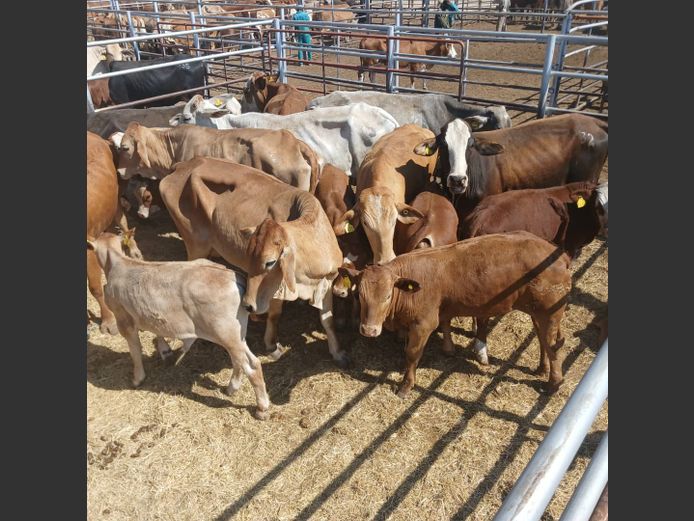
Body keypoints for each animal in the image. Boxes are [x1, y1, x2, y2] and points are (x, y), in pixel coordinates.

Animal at [86, 232, 271, 420]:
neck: (119, 264)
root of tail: (232, 275)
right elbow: (156, 330)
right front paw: (164, 350)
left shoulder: (123, 318)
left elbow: (135, 350)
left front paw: (138, 378)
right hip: (236, 334)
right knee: (239, 360)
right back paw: (232, 388)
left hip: (226, 332)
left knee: (253, 365)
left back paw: (262, 408)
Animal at [159, 157, 349, 367]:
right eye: (249, 257)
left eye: (270, 262)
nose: (247, 306)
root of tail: (184, 165)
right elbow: (274, 315)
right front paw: (272, 347)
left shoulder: (327, 281)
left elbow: (328, 319)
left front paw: (338, 352)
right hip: (195, 245)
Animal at [337, 231, 572, 396]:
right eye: (359, 295)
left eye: (387, 296)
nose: (369, 330)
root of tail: (559, 254)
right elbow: (446, 323)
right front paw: (448, 349)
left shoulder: (423, 324)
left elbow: (412, 354)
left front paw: (406, 386)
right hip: (539, 313)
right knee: (544, 340)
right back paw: (541, 369)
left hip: (549, 313)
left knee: (553, 345)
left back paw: (553, 383)